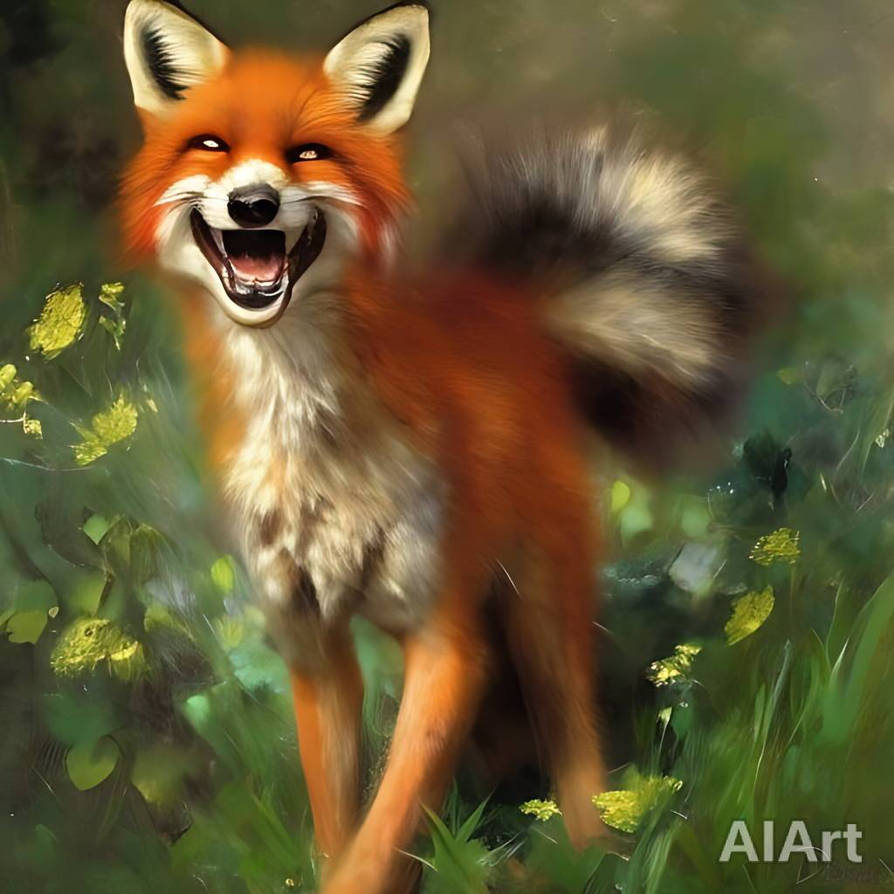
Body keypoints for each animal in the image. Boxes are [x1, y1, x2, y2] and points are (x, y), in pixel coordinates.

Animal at [119, 1, 763, 891]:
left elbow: (386, 823)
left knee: (575, 741)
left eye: (307, 152)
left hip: (538, 605)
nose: (252, 203)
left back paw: (591, 852)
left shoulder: (444, 642)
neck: (312, 441)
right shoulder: (314, 644)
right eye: (210, 145)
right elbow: (341, 817)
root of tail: (507, 305)